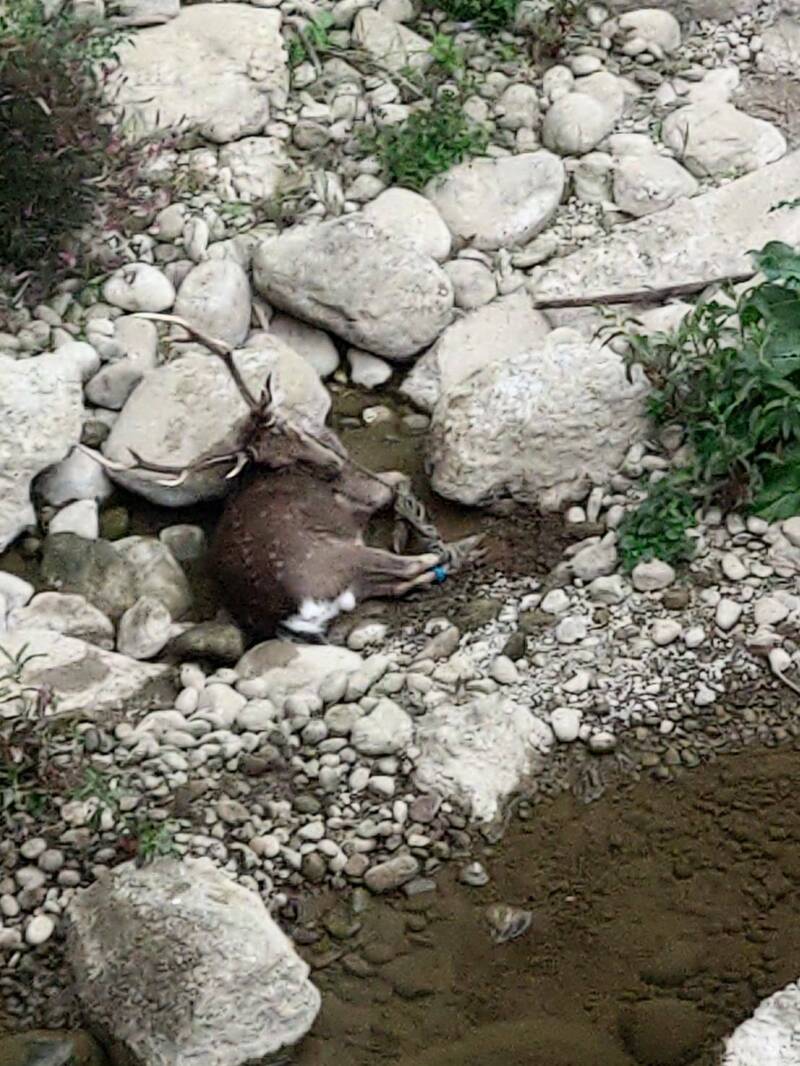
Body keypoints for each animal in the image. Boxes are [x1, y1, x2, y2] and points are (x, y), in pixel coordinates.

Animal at [81, 311, 482, 635]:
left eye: (284, 428)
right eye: (275, 463)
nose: (332, 465)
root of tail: (292, 614)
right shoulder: (363, 490)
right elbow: (400, 480)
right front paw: (406, 527)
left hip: (354, 581)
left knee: (397, 582)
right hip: (339, 559)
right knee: (417, 564)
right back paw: (462, 549)